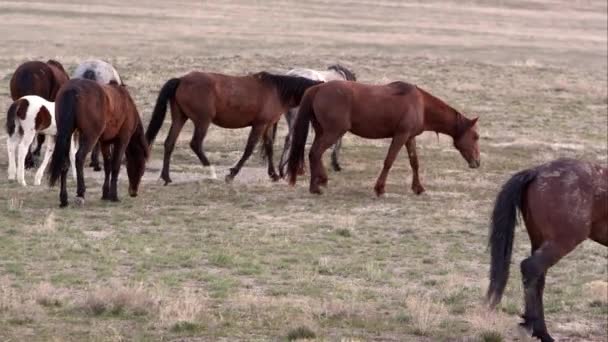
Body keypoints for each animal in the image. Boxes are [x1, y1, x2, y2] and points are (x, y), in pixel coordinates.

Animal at [48, 79, 148, 208]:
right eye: (141, 169)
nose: (133, 192)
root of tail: (73, 89)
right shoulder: (122, 140)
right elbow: (115, 165)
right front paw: (113, 195)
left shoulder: (104, 142)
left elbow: (107, 165)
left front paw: (105, 193)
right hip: (90, 137)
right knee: (79, 157)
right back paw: (80, 193)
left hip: (67, 135)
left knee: (65, 162)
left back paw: (64, 198)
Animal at [144, 70, 320, 186]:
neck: (276, 91)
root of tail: (181, 80)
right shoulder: (259, 125)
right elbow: (249, 149)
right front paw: (232, 174)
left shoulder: (267, 125)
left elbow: (269, 148)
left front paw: (274, 175)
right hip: (202, 121)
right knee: (195, 144)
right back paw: (211, 172)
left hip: (180, 118)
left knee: (169, 143)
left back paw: (166, 177)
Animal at [284, 80, 480, 195]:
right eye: (476, 137)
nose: (477, 162)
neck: (421, 104)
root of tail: (317, 88)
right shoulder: (400, 136)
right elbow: (389, 161)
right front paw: (379, 188)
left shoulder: (409, 138)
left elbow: (414, 162)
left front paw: (418, 188)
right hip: (333, 132)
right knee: (315, 153)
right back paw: (315, 187)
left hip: (322, 132)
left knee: (315, 154)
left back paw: (321, 181)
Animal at [484, 159, 608, 342]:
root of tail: (537, 171)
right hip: (561, 242)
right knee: (531, 268)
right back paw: (539, 330)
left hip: (540, 241)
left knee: (537, 278)